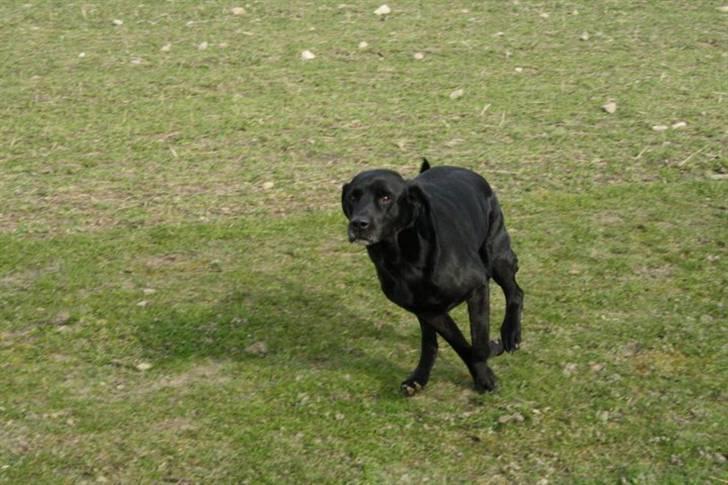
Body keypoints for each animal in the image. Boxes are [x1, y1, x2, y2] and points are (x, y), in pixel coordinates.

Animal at [342, 159, 524, 394]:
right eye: (353, 197)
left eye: (386, 197)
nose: (358, 224)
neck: (404, 258)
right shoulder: (427, 311)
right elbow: (459, 344)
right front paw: (482, 374)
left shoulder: (477, 288)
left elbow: (479, 344)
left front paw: (490, 359)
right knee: (430, 342)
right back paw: (419, 377)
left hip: (497, 256)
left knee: (515, 292)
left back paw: (511, 334)